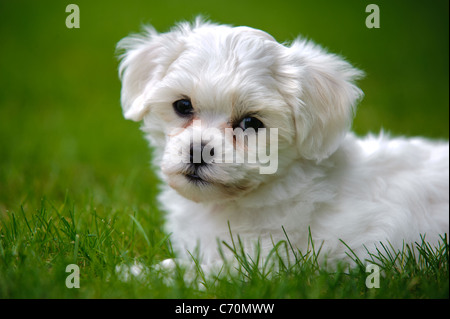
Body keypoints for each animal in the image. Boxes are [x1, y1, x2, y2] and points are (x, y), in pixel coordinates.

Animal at [117, 18, 450, 272]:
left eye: (251, 123)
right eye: (183, 106)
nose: (198, 150)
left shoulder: (263, 262)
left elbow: (198, 274)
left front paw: (135, 275)